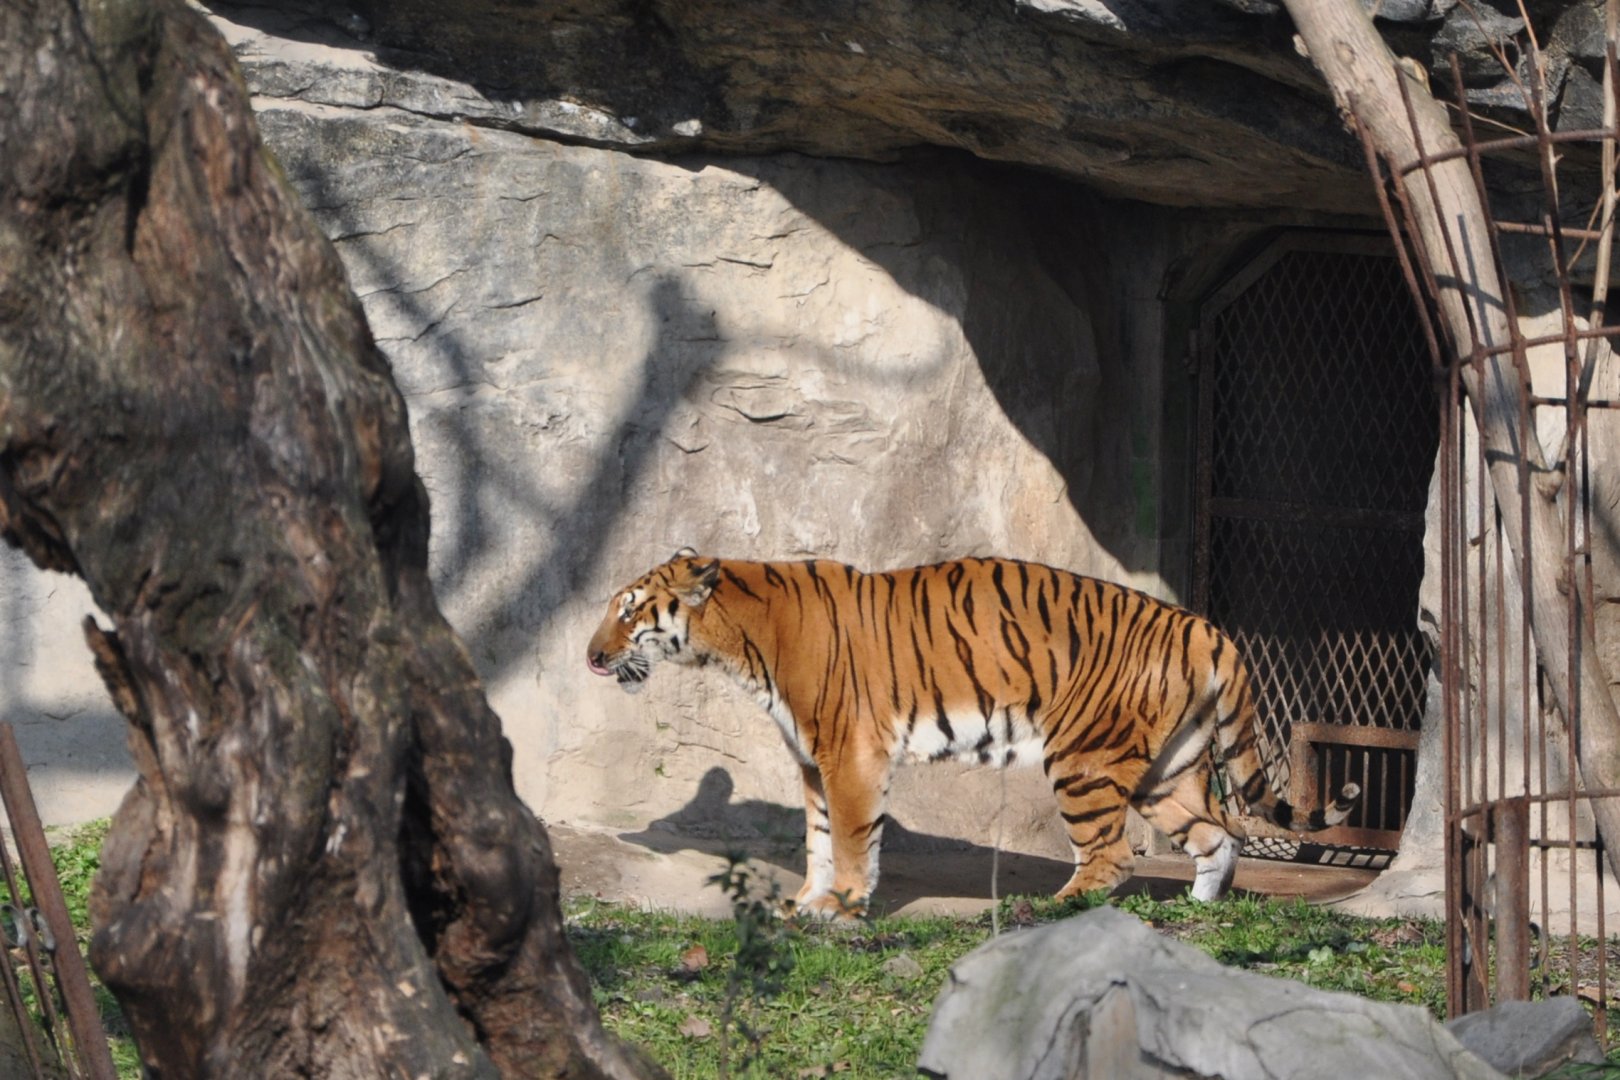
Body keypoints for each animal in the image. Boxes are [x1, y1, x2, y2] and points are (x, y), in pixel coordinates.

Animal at [586, 549, 1359, 919]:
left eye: (629, 612)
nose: (591, 657)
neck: (738, 636)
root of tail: (1202, 625)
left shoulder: (849, 753)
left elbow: (849, 837)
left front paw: (840, 909)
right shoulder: (811, 760)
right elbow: (817, 837)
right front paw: (806, 902)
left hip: (1081, 759)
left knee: (1111, 858)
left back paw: (1053, 911)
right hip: (1164, 769)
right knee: (1218, 835)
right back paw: (1201, 913)